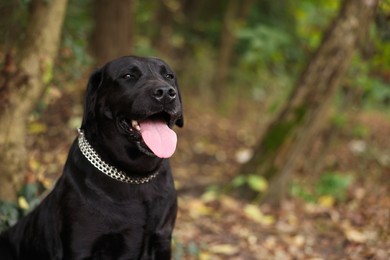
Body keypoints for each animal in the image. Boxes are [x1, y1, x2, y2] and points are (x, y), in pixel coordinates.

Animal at [0, 55, 184, 258]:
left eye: (169, 76)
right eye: (128, 75)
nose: (166, 92)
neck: (134, 177)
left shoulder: (161, 239)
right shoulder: (83, 246)